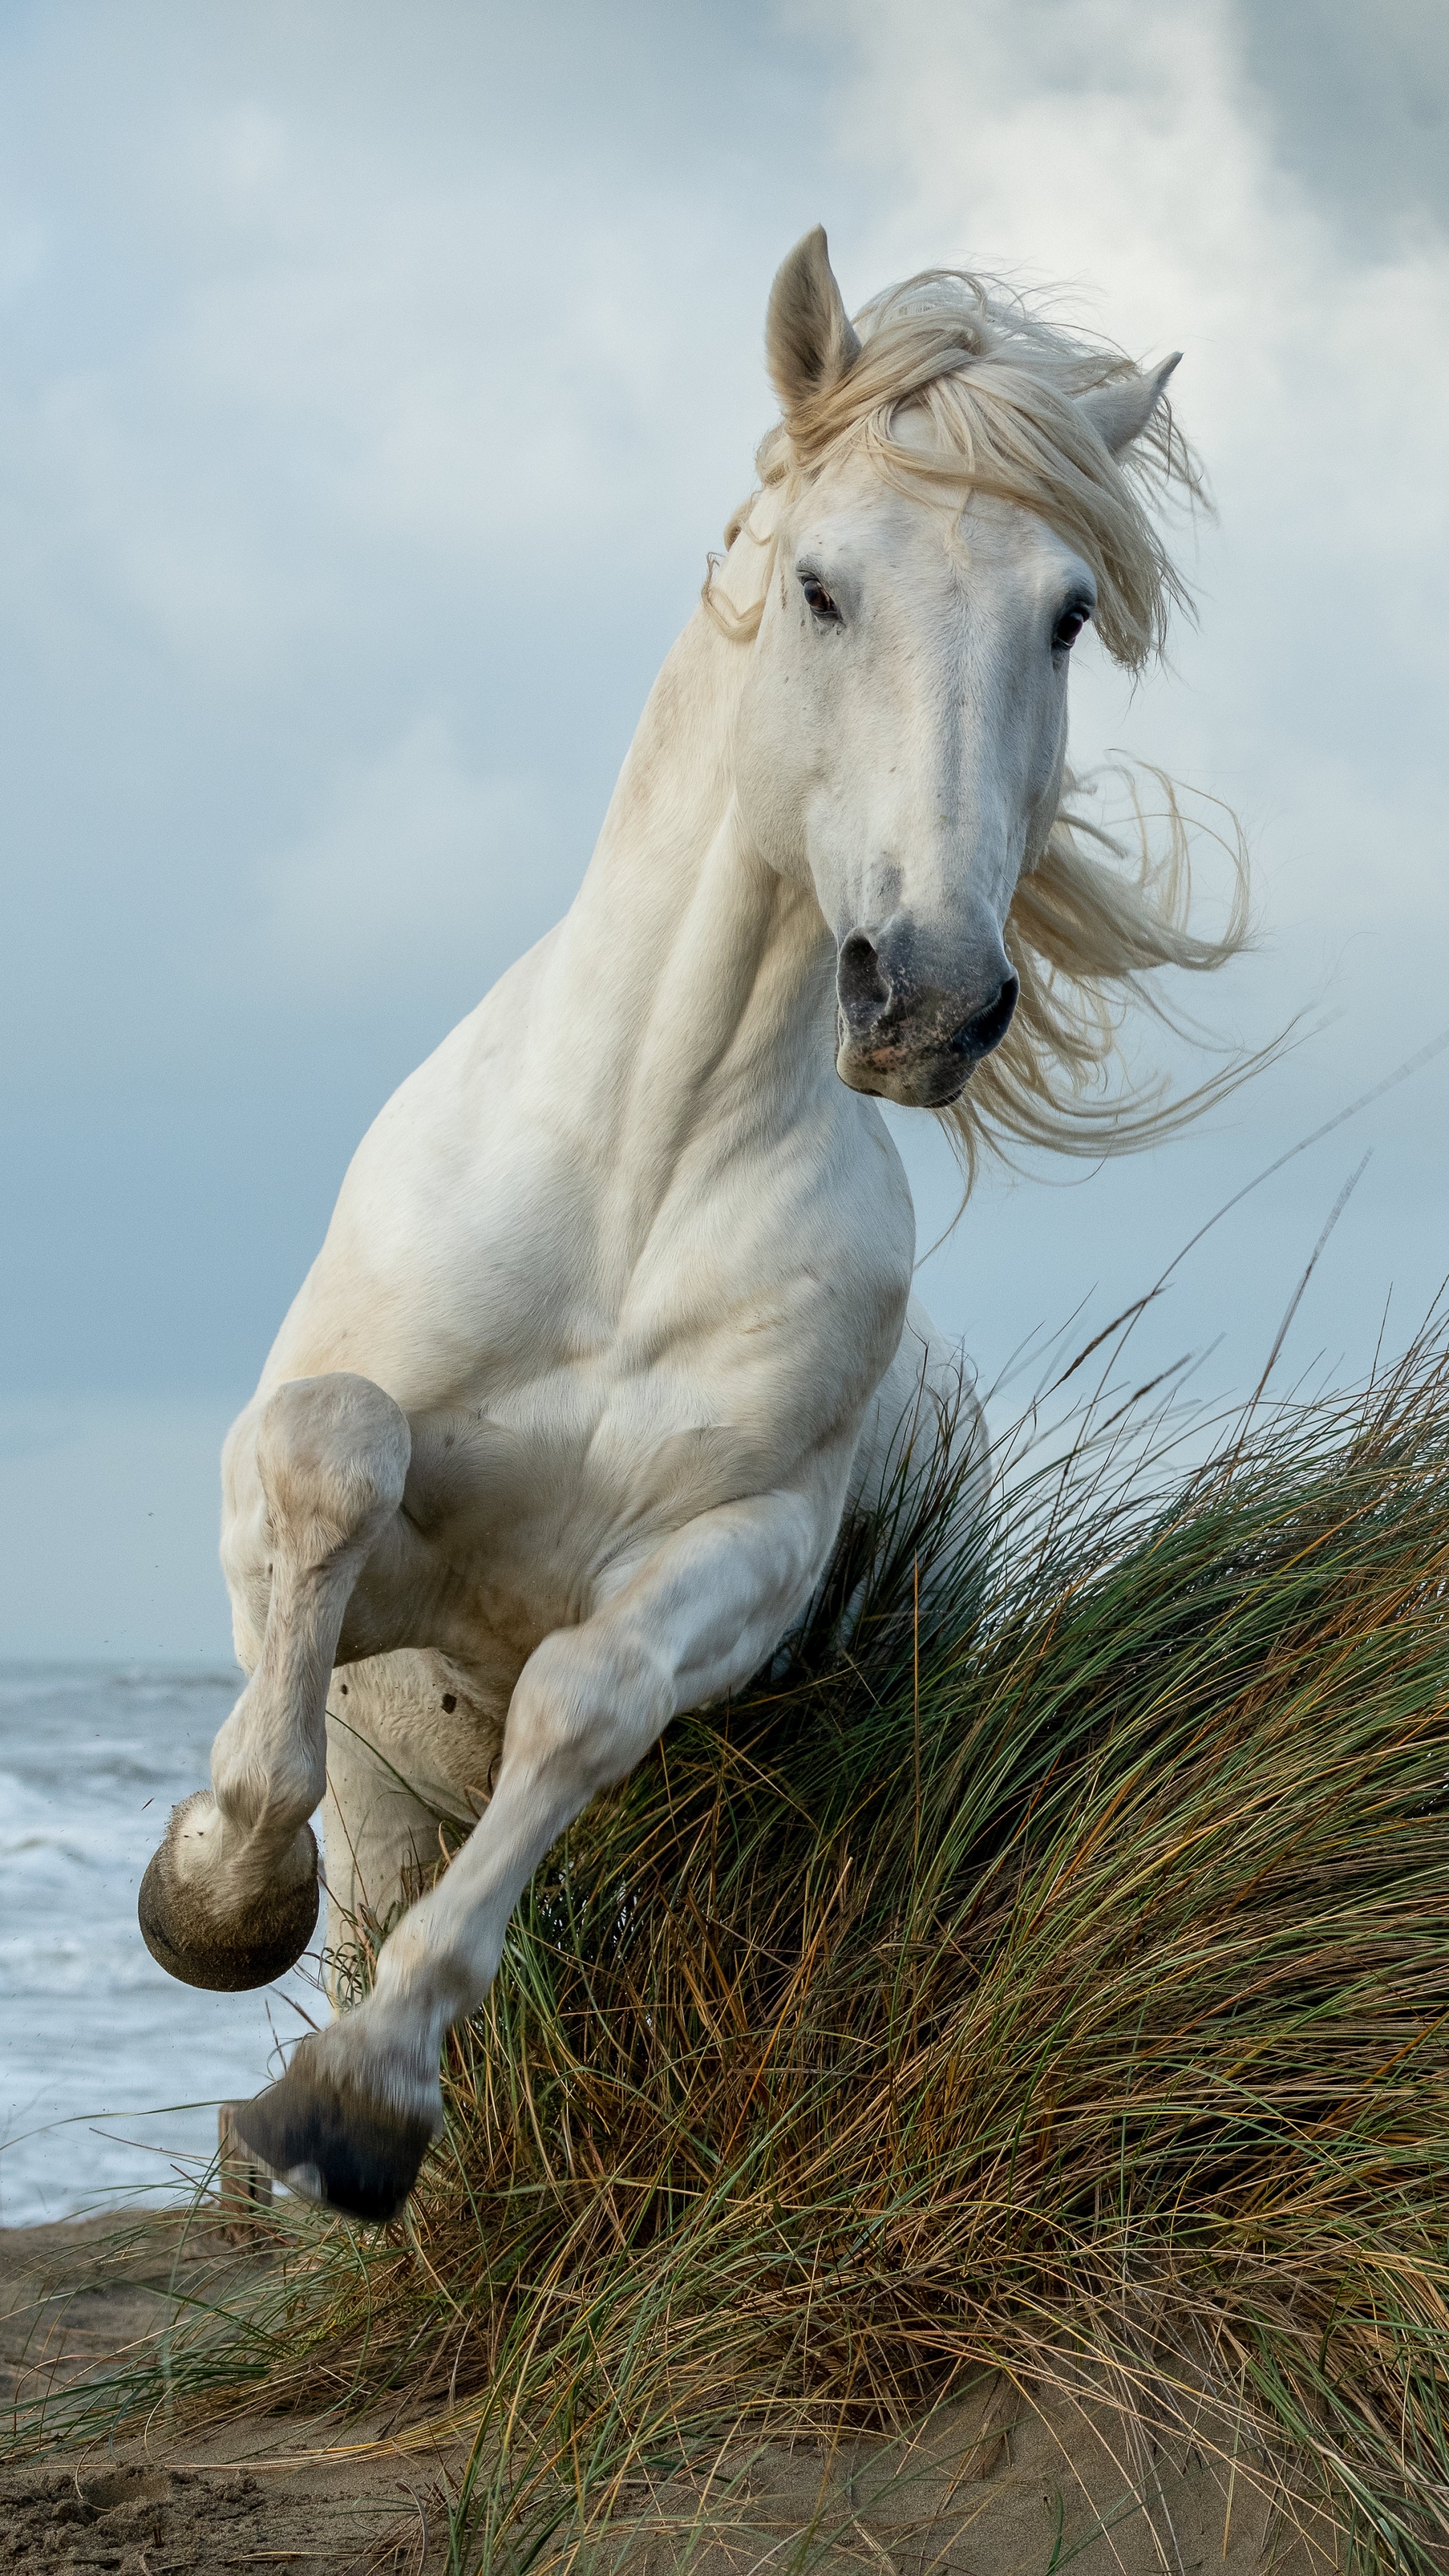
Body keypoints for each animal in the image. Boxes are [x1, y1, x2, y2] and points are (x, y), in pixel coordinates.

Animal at [138, 231, 1242, 2225]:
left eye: (1060, 615)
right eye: (819, 587)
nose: (930, 996)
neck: (636, 1176)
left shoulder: (734, 1560)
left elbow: (583, 1694)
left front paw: (357, 2108)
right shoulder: (353, 1547)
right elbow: (335, 1458)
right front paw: (212, 1899)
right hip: (397, 1785)